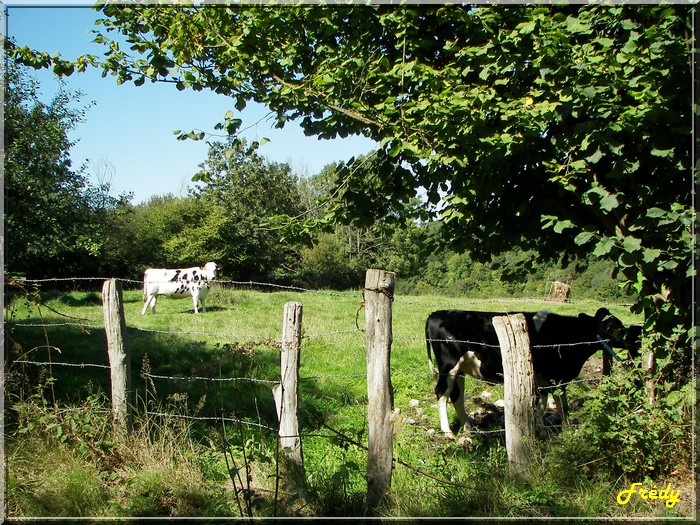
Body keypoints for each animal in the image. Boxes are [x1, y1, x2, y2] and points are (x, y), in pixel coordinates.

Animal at [426, 304, 628, 436]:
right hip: (449, 365)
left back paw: (468, 426)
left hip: (459, 369)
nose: (632, 335)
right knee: (442, 393)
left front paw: (541, 429)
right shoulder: (556, 378)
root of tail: (436, 314)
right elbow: (562, 406)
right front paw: (568, 431)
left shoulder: (543, 379)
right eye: (616, 327)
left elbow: (541, 403)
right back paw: (448, 431)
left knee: (456, 396)